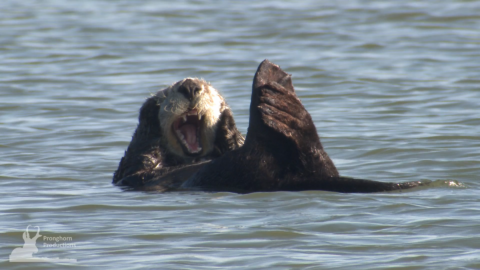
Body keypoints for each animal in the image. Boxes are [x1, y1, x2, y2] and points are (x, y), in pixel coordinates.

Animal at [113, 78, 244, 190]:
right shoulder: (133, 167)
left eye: (208, 89)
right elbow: (141, 163)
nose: (190, 86)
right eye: (166, 93)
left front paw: (225, 114)